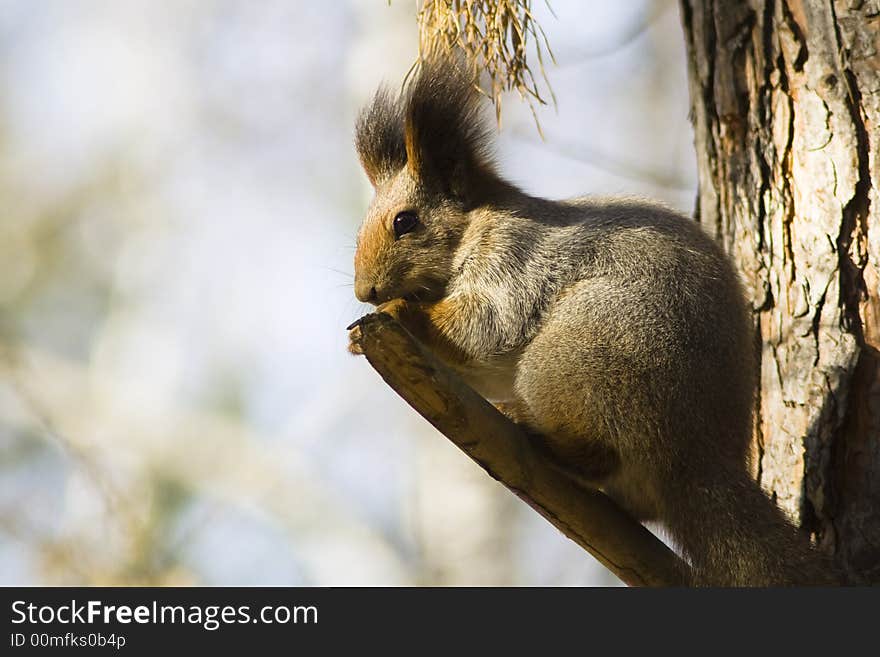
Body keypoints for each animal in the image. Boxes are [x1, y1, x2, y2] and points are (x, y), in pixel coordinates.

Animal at [348, 57, 844, 584]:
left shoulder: (516, 263)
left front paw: (397, 312)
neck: (474, 229)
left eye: (405, 222)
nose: (365, 290)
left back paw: (539, 433)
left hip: (579, 354)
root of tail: (698, 457)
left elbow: (484, 327)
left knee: (598, 453)